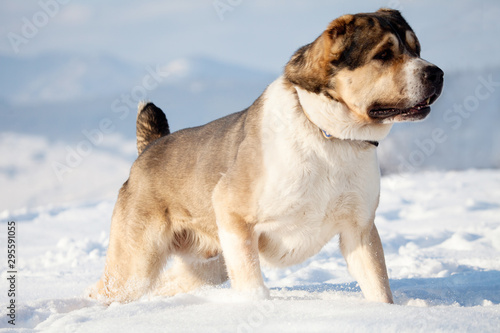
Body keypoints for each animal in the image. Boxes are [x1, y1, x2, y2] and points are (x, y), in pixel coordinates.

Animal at [89, 8, 442, 304]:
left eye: (417, 49)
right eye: (383, 54)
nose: (436, 73)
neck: (328, 136)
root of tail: (150, 148)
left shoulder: (360, 230)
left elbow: (378, 287)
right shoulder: (234, 216)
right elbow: (251, 283)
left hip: (207, 265)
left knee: (168, 285)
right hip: (137, 264)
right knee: (102, 290)